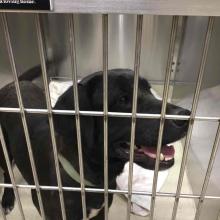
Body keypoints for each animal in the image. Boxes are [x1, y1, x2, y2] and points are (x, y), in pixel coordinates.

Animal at [0, 66, 189, 218]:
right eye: (122, 99)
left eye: (149, 90)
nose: (186, 116)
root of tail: (16, 83)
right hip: (4, 149)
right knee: (7, 173)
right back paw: (7, 198)